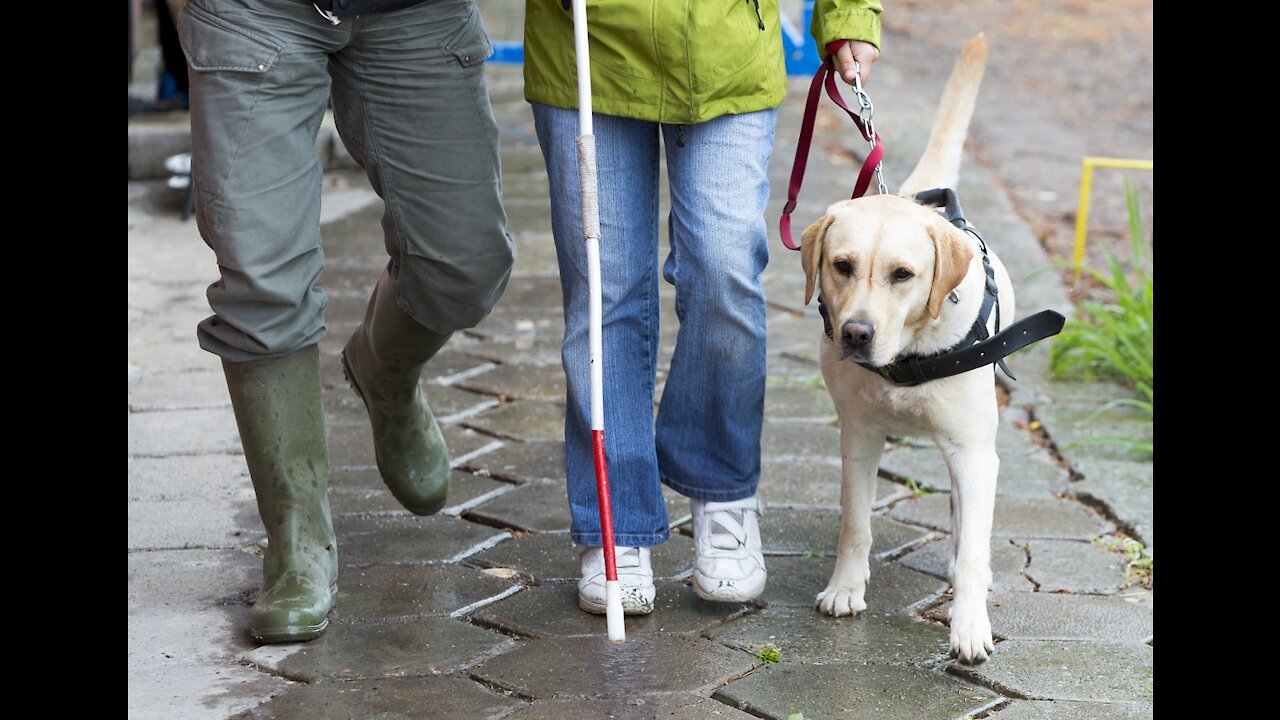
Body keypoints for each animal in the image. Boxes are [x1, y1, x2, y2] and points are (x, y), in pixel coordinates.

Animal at [798, 35, 1008, 661]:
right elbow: (855, 524)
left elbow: (972, 548)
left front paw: (969, 624)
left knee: (967, 522)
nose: (856, 334)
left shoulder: (973, 451)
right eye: (842, 266)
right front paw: (845, 588)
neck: (905, 357)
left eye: (903, 275)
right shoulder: (858, 437)